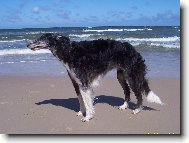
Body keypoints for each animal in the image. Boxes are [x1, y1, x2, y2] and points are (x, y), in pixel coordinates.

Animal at [27, 33, 163, 122]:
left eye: (41, 39)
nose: (28, 44)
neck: (68, 51)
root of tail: (133, 49)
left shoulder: (84, 82)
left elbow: (87, 101)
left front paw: (88, 116)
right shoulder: (76, 82)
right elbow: (81, 99)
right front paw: (81, 112)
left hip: (132, 76)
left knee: (139, 94)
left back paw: (137, 109)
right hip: (121, 76)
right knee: (127, 92)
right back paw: (124, 106)